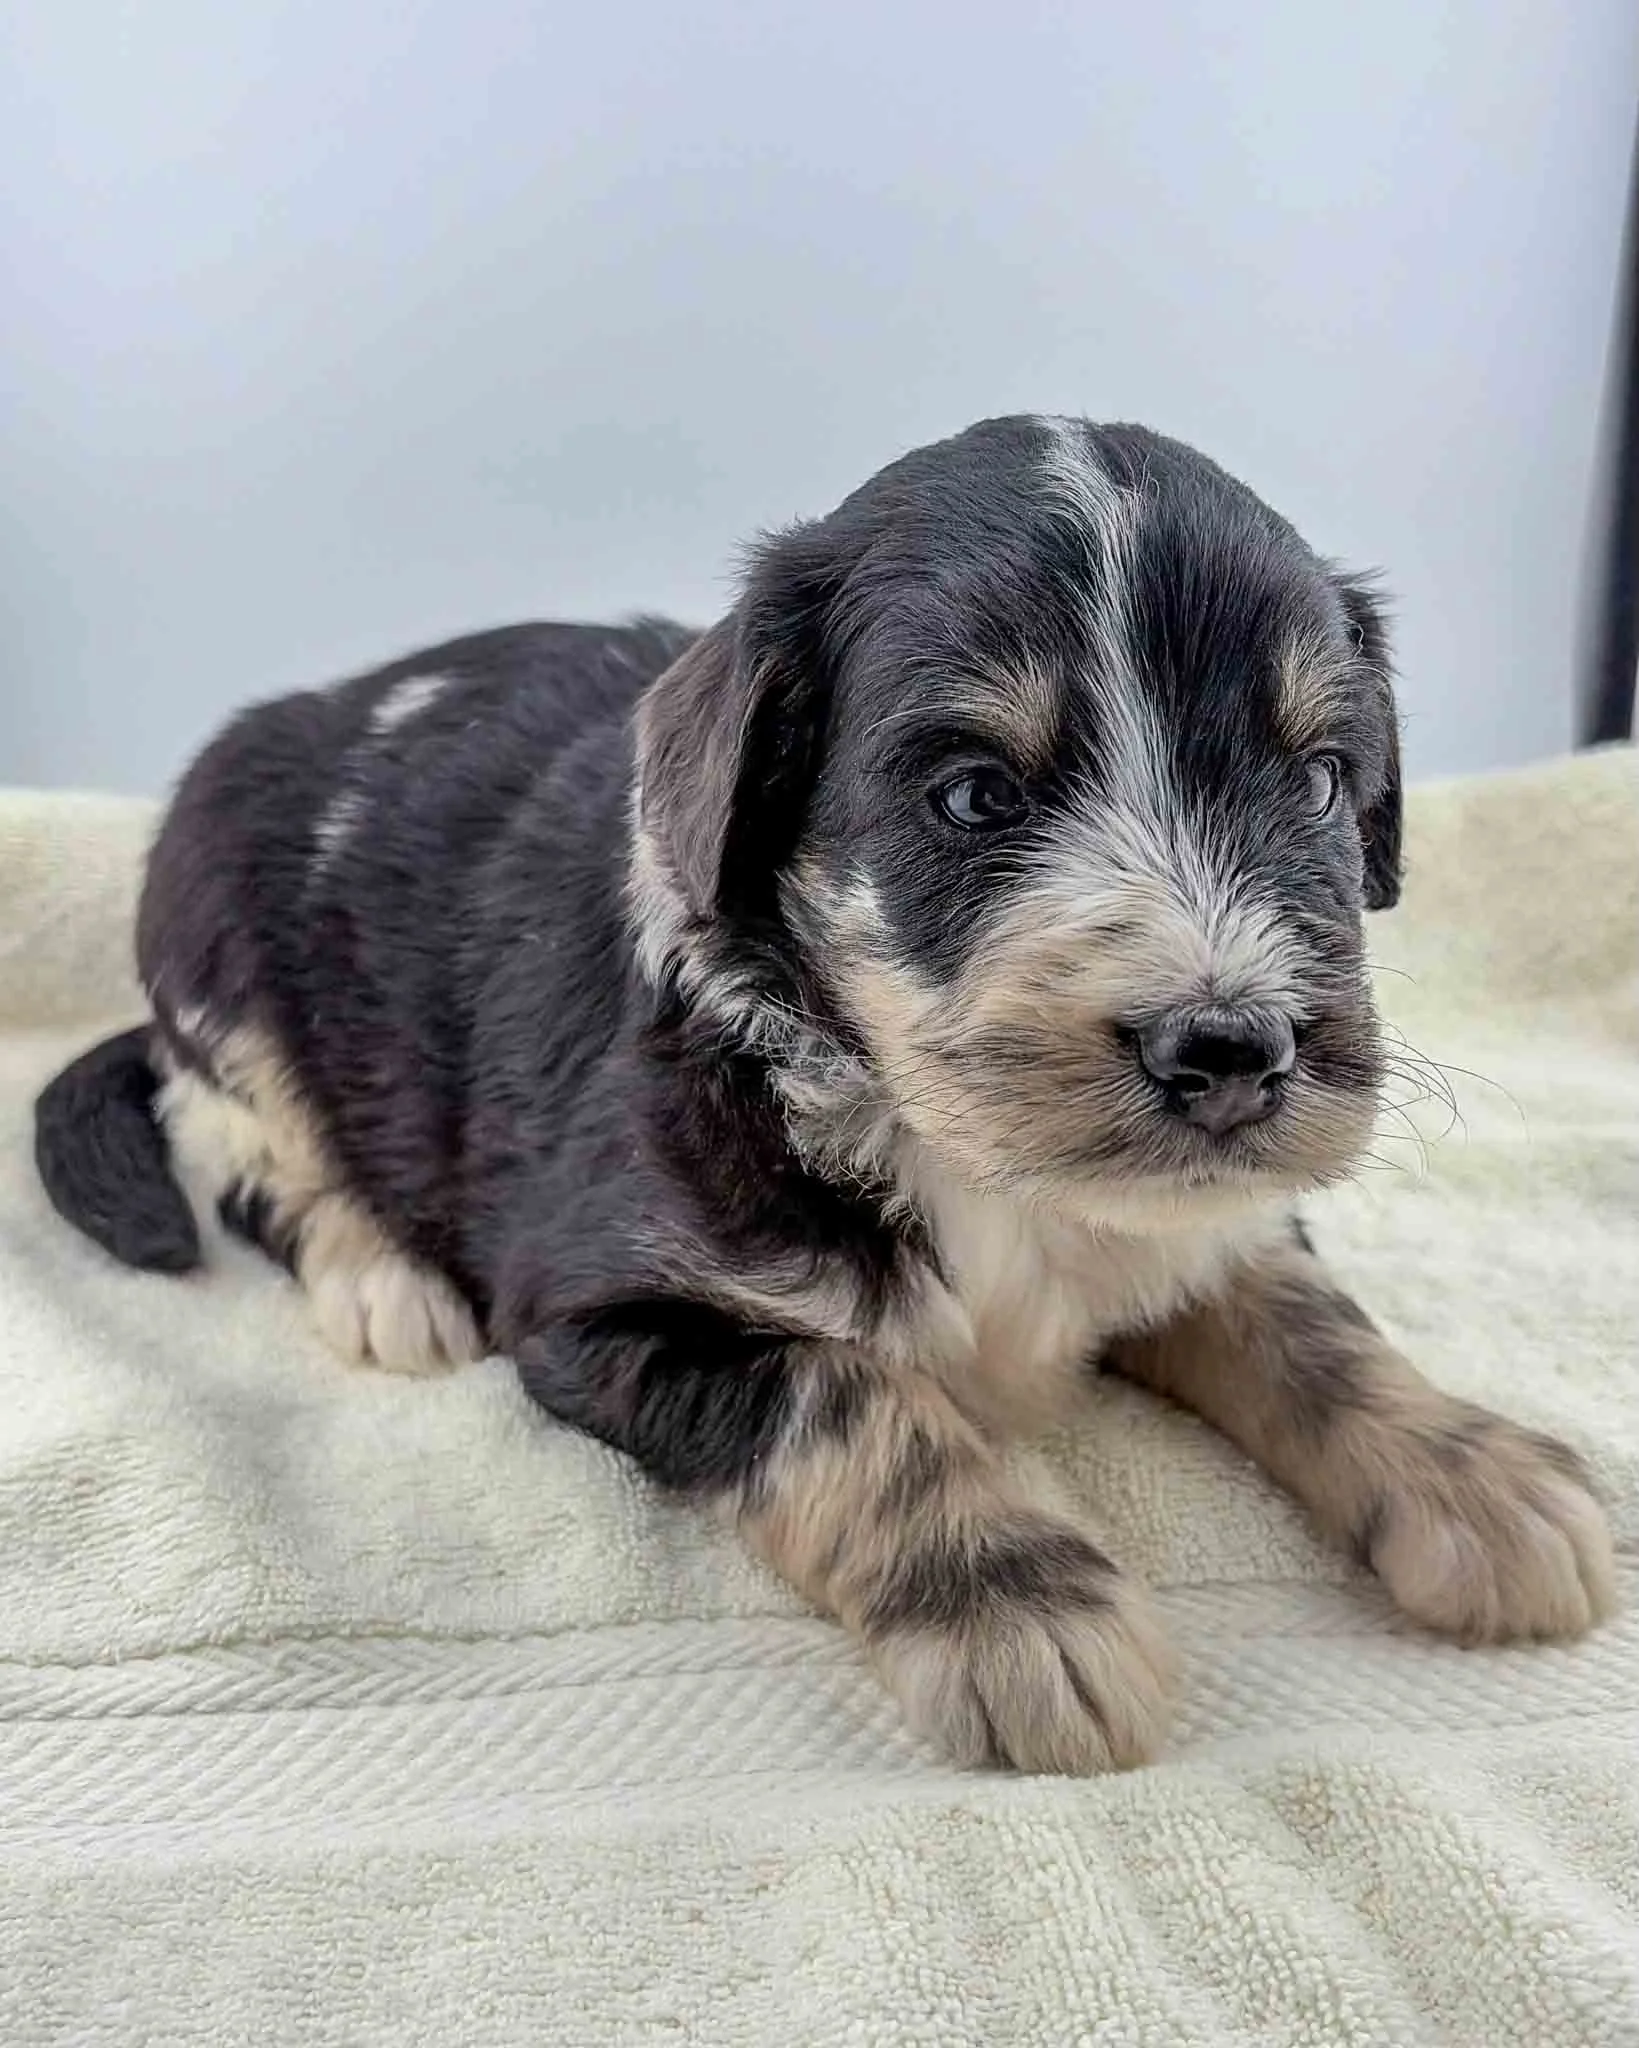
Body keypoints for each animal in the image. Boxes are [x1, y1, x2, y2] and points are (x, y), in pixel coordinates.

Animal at [35, 415, 1616, 1773]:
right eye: (972, 796)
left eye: (1321, 782)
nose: (1228, 1048)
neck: (945, 1143)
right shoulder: (605, 1303)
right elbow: (851, 1396)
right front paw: (1020, 1604)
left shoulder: (1210, 1213)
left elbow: (1305, 1319)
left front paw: (1477, 1471)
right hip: (222, 975)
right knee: (250, 1156)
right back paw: (385, 1281)